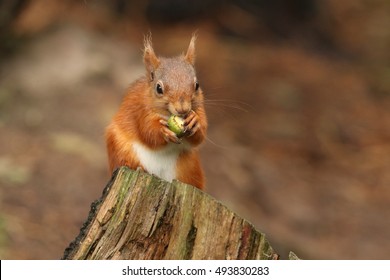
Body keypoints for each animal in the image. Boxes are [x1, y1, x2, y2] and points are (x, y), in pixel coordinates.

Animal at [103, 34, 207, 188]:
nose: (182, 109)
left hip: (189, 168)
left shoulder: (200, 109)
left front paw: (195, 121)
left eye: (197, 85)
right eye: (159, 88)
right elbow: (148, 132)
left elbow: (200, 136)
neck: (166, 114)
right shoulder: (141, 110)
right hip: (119, 148)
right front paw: (163, 131)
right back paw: (138, 168)